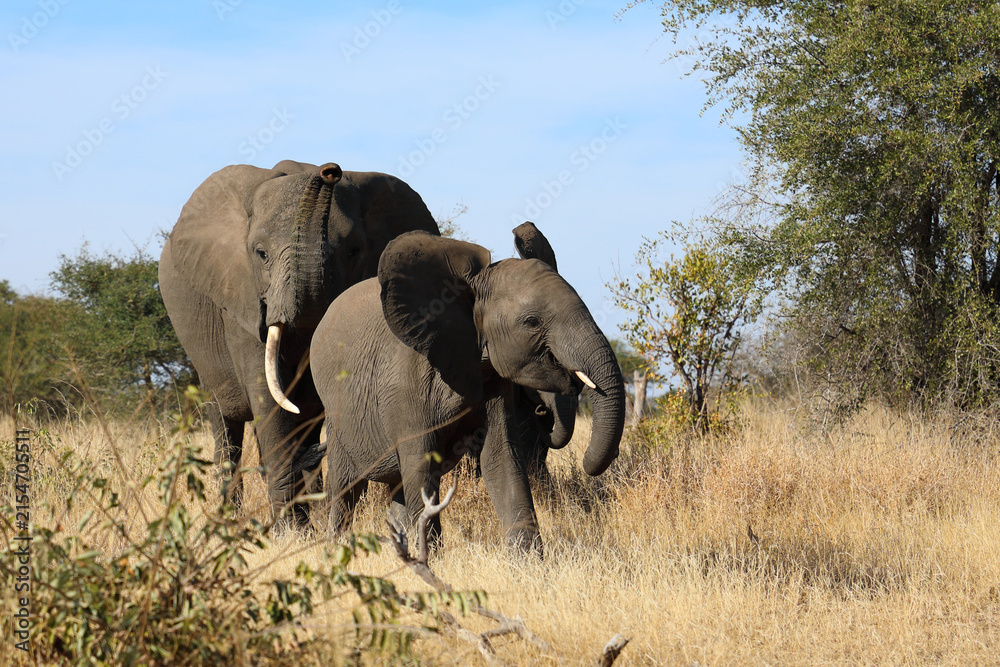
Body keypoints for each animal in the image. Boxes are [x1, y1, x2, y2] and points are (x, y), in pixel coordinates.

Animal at [158, 159, 439, 527]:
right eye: (261, 254)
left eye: (354, 251)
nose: (329, 171)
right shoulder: (243, 301)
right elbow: (268, 400)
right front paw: (288, 531)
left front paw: (302, 526)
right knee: (225, 424)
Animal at [310, 230, 625, 553]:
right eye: (531, 322)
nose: (589, 463)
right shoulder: (405, 384)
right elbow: (421, 469)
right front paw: (431, 559)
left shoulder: (492, 380)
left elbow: (501, 458)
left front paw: (529, 559)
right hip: (336, 412)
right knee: (345, 488)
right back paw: (335, 546)